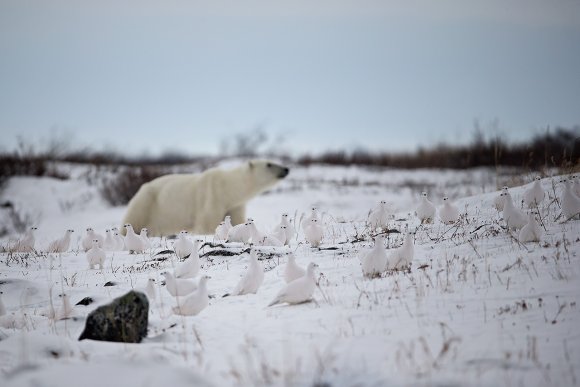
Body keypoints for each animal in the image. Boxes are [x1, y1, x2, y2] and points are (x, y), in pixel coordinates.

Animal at [121, 160, 288, 236]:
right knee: (133, 219)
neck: (228, 187)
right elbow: (207, 224)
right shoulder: (212, 194)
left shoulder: (234, 205)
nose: (286, 169)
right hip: (146, 202)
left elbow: (237, 220)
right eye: (269, 164)